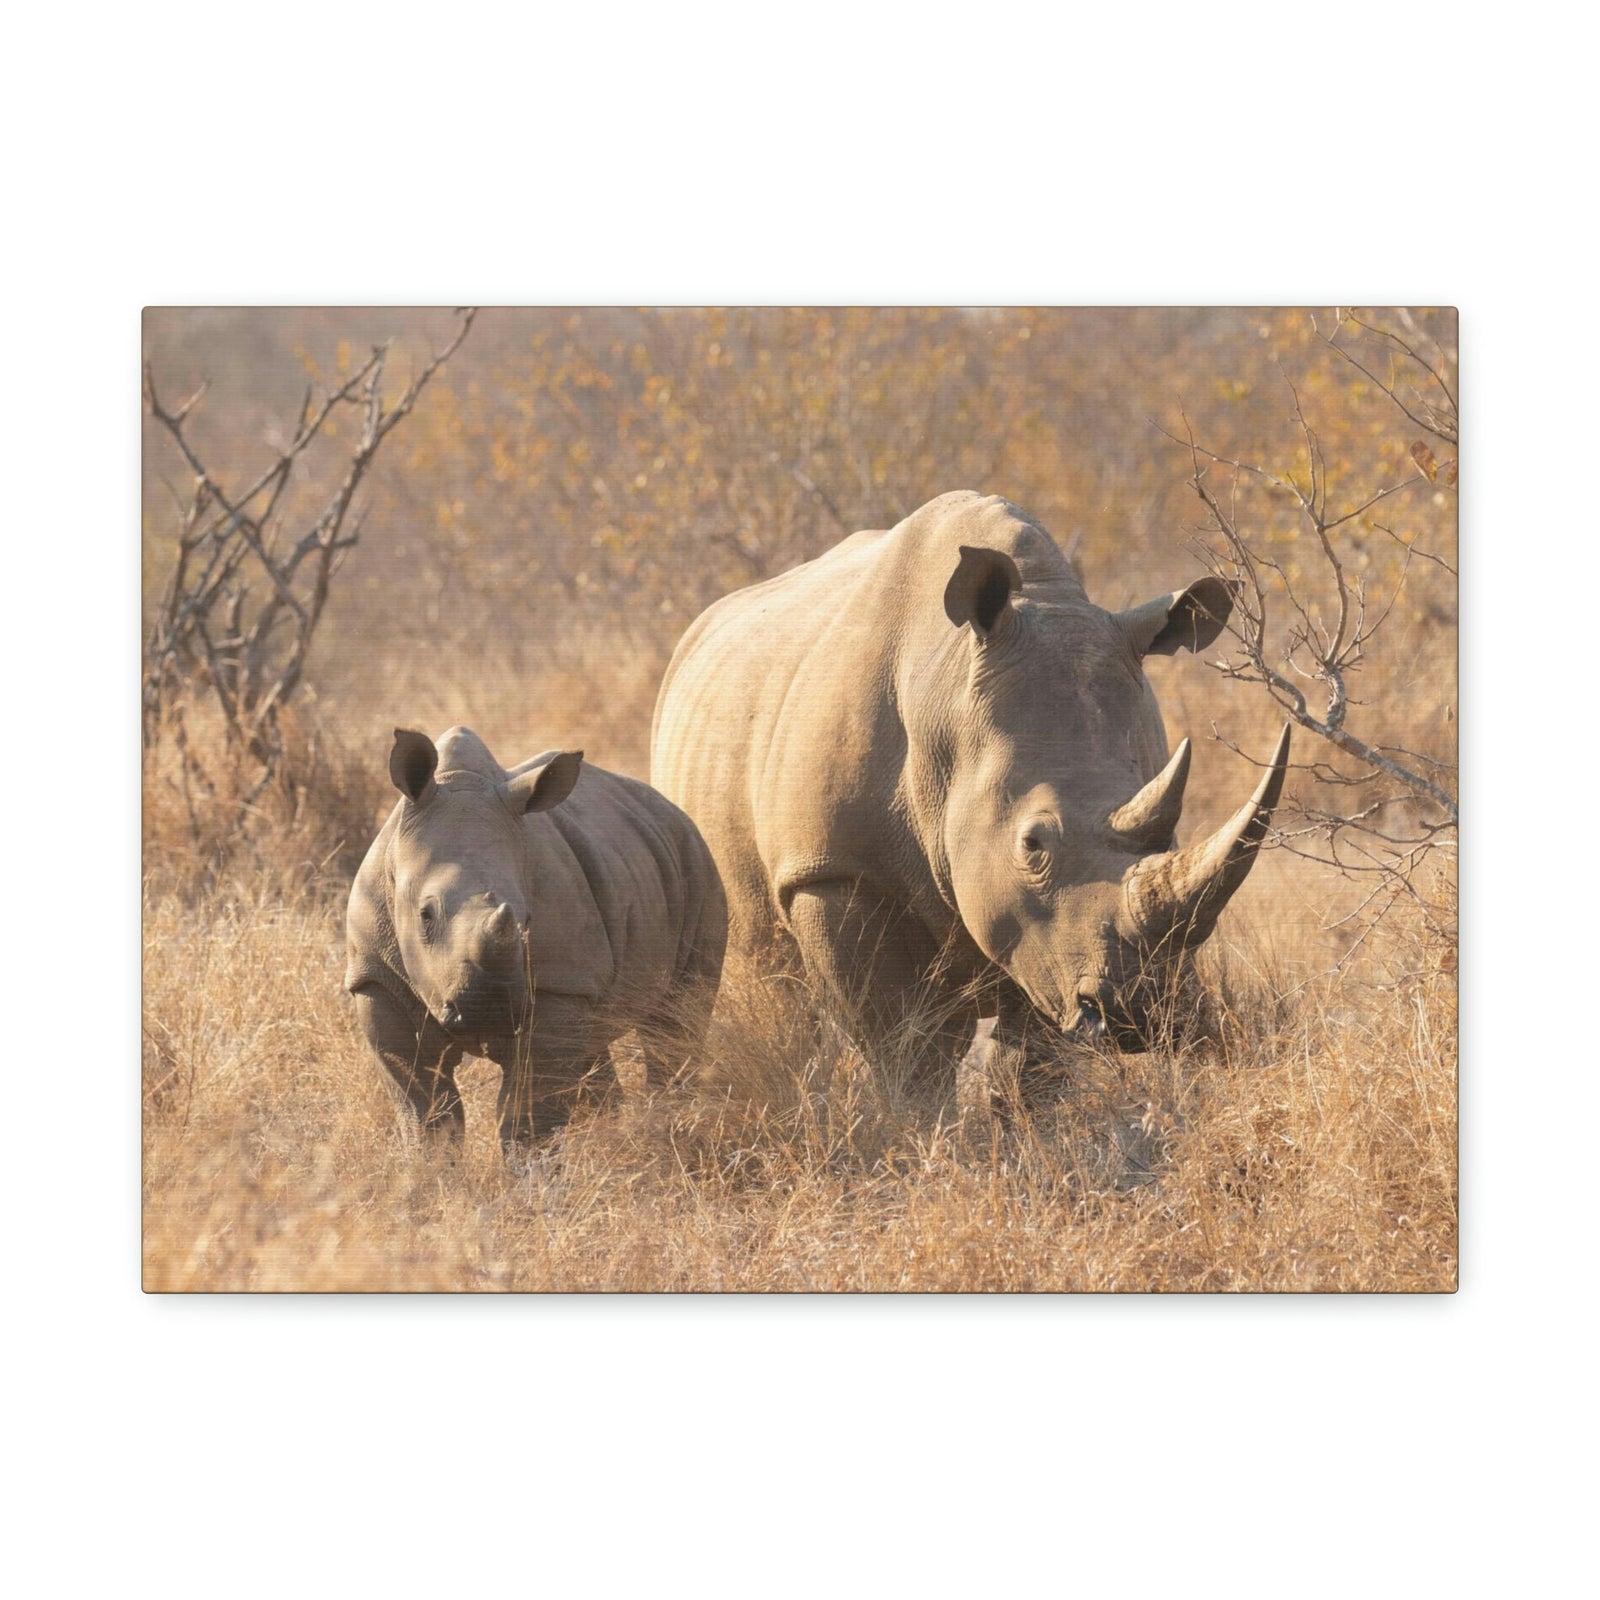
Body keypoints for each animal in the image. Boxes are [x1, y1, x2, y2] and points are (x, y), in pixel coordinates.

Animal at [345, 726, 727, 1146]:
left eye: (527, 919)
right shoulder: (377, 976)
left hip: (697, 862)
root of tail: (673, 809)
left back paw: (672, 1127)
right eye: (425, 916)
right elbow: (426, 1110)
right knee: (594, 1042)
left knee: (675, 1021)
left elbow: (528, 1114)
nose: (489, 1011)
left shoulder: (557, 984)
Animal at [650, 490, 1288, 1070]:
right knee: (779, 988)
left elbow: (1032, 1061)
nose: (1140, 1013)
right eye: (1033, 843)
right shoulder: (830, 868)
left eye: (1173, 835)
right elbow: (904, 1049)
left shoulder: (1041, 936)